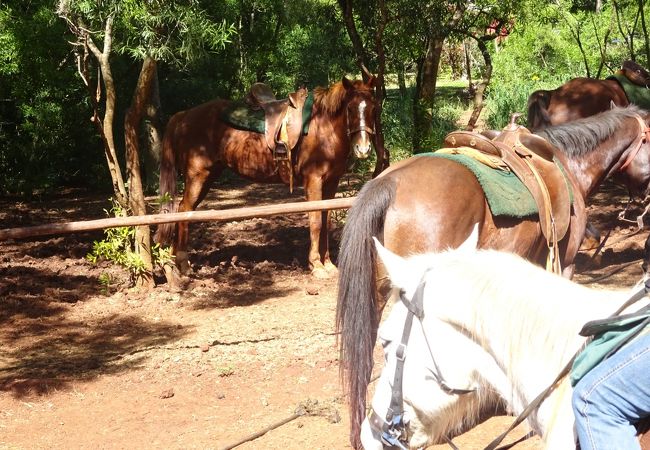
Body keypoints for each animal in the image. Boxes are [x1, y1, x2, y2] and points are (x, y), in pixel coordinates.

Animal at [156, 75, 374, 284]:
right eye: (350, 108)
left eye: (373, 107)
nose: (363, 149)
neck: (323, 127)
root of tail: (184, 116)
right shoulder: (314, 181)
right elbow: (315, 222)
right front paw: (316, 266)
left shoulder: (331, 183)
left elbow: (326, 222)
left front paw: (328, 264)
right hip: (198, 176)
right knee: (183, 210)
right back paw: (183, 264)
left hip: (208, 177)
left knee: (185, 211)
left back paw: (176, 262)